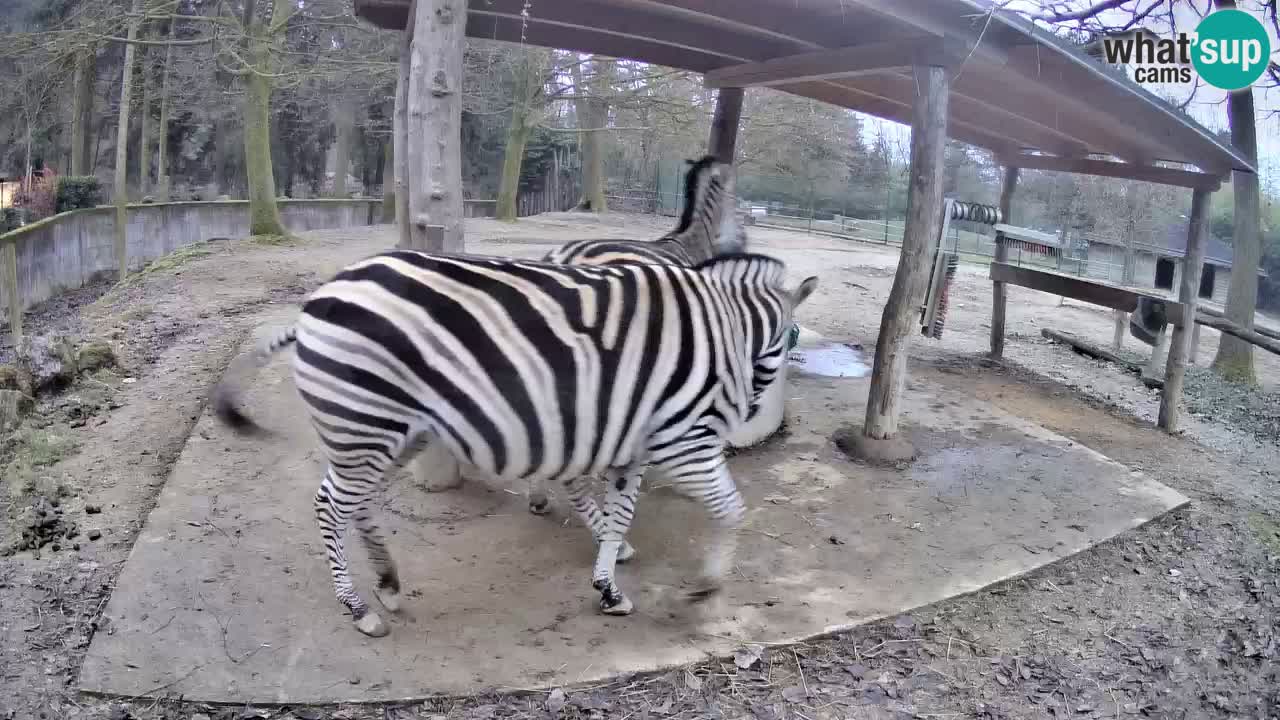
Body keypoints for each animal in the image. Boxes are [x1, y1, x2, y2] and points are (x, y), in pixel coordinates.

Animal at [212, 249, 818, 638]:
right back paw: (358, 606)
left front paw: (609, 589)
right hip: (367, 425)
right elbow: (731, 509)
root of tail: (318, 298)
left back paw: (388, 582)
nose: (748, 408)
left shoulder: (633, 445)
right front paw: (705, 592)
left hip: (388, 432)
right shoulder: (682, 439)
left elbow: (621, 515)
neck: (720, 329)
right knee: (329, 506)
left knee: (354, 504)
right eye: (781, 343)